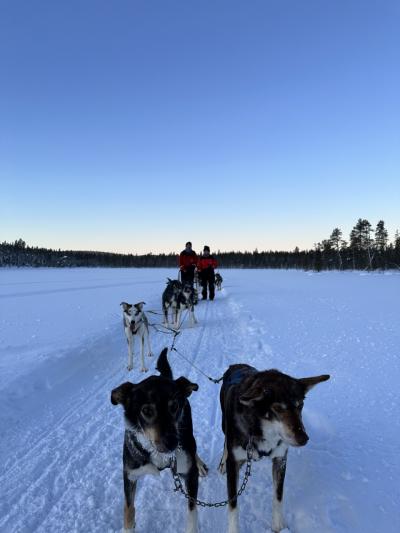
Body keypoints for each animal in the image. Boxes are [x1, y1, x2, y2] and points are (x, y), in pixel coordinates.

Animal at [111, 348, 208, 532]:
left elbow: (192, 511)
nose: (172, 443)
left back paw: (200, 464)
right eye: (147, 411)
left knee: (193, 450)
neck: (158, 454)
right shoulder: (130, 475)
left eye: (174, 406)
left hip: (188, 436)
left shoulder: (190, 476)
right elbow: (128, 509)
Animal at [219, 364, 328, 528]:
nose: (304, 439)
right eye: (278, 408)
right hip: (224, 425)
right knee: (226, 442)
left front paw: (278, 528)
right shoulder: (233, 465)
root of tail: (236, 365)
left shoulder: (280, 459)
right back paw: (222, 462)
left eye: (300, 405)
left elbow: (278, 497)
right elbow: (233, 507)